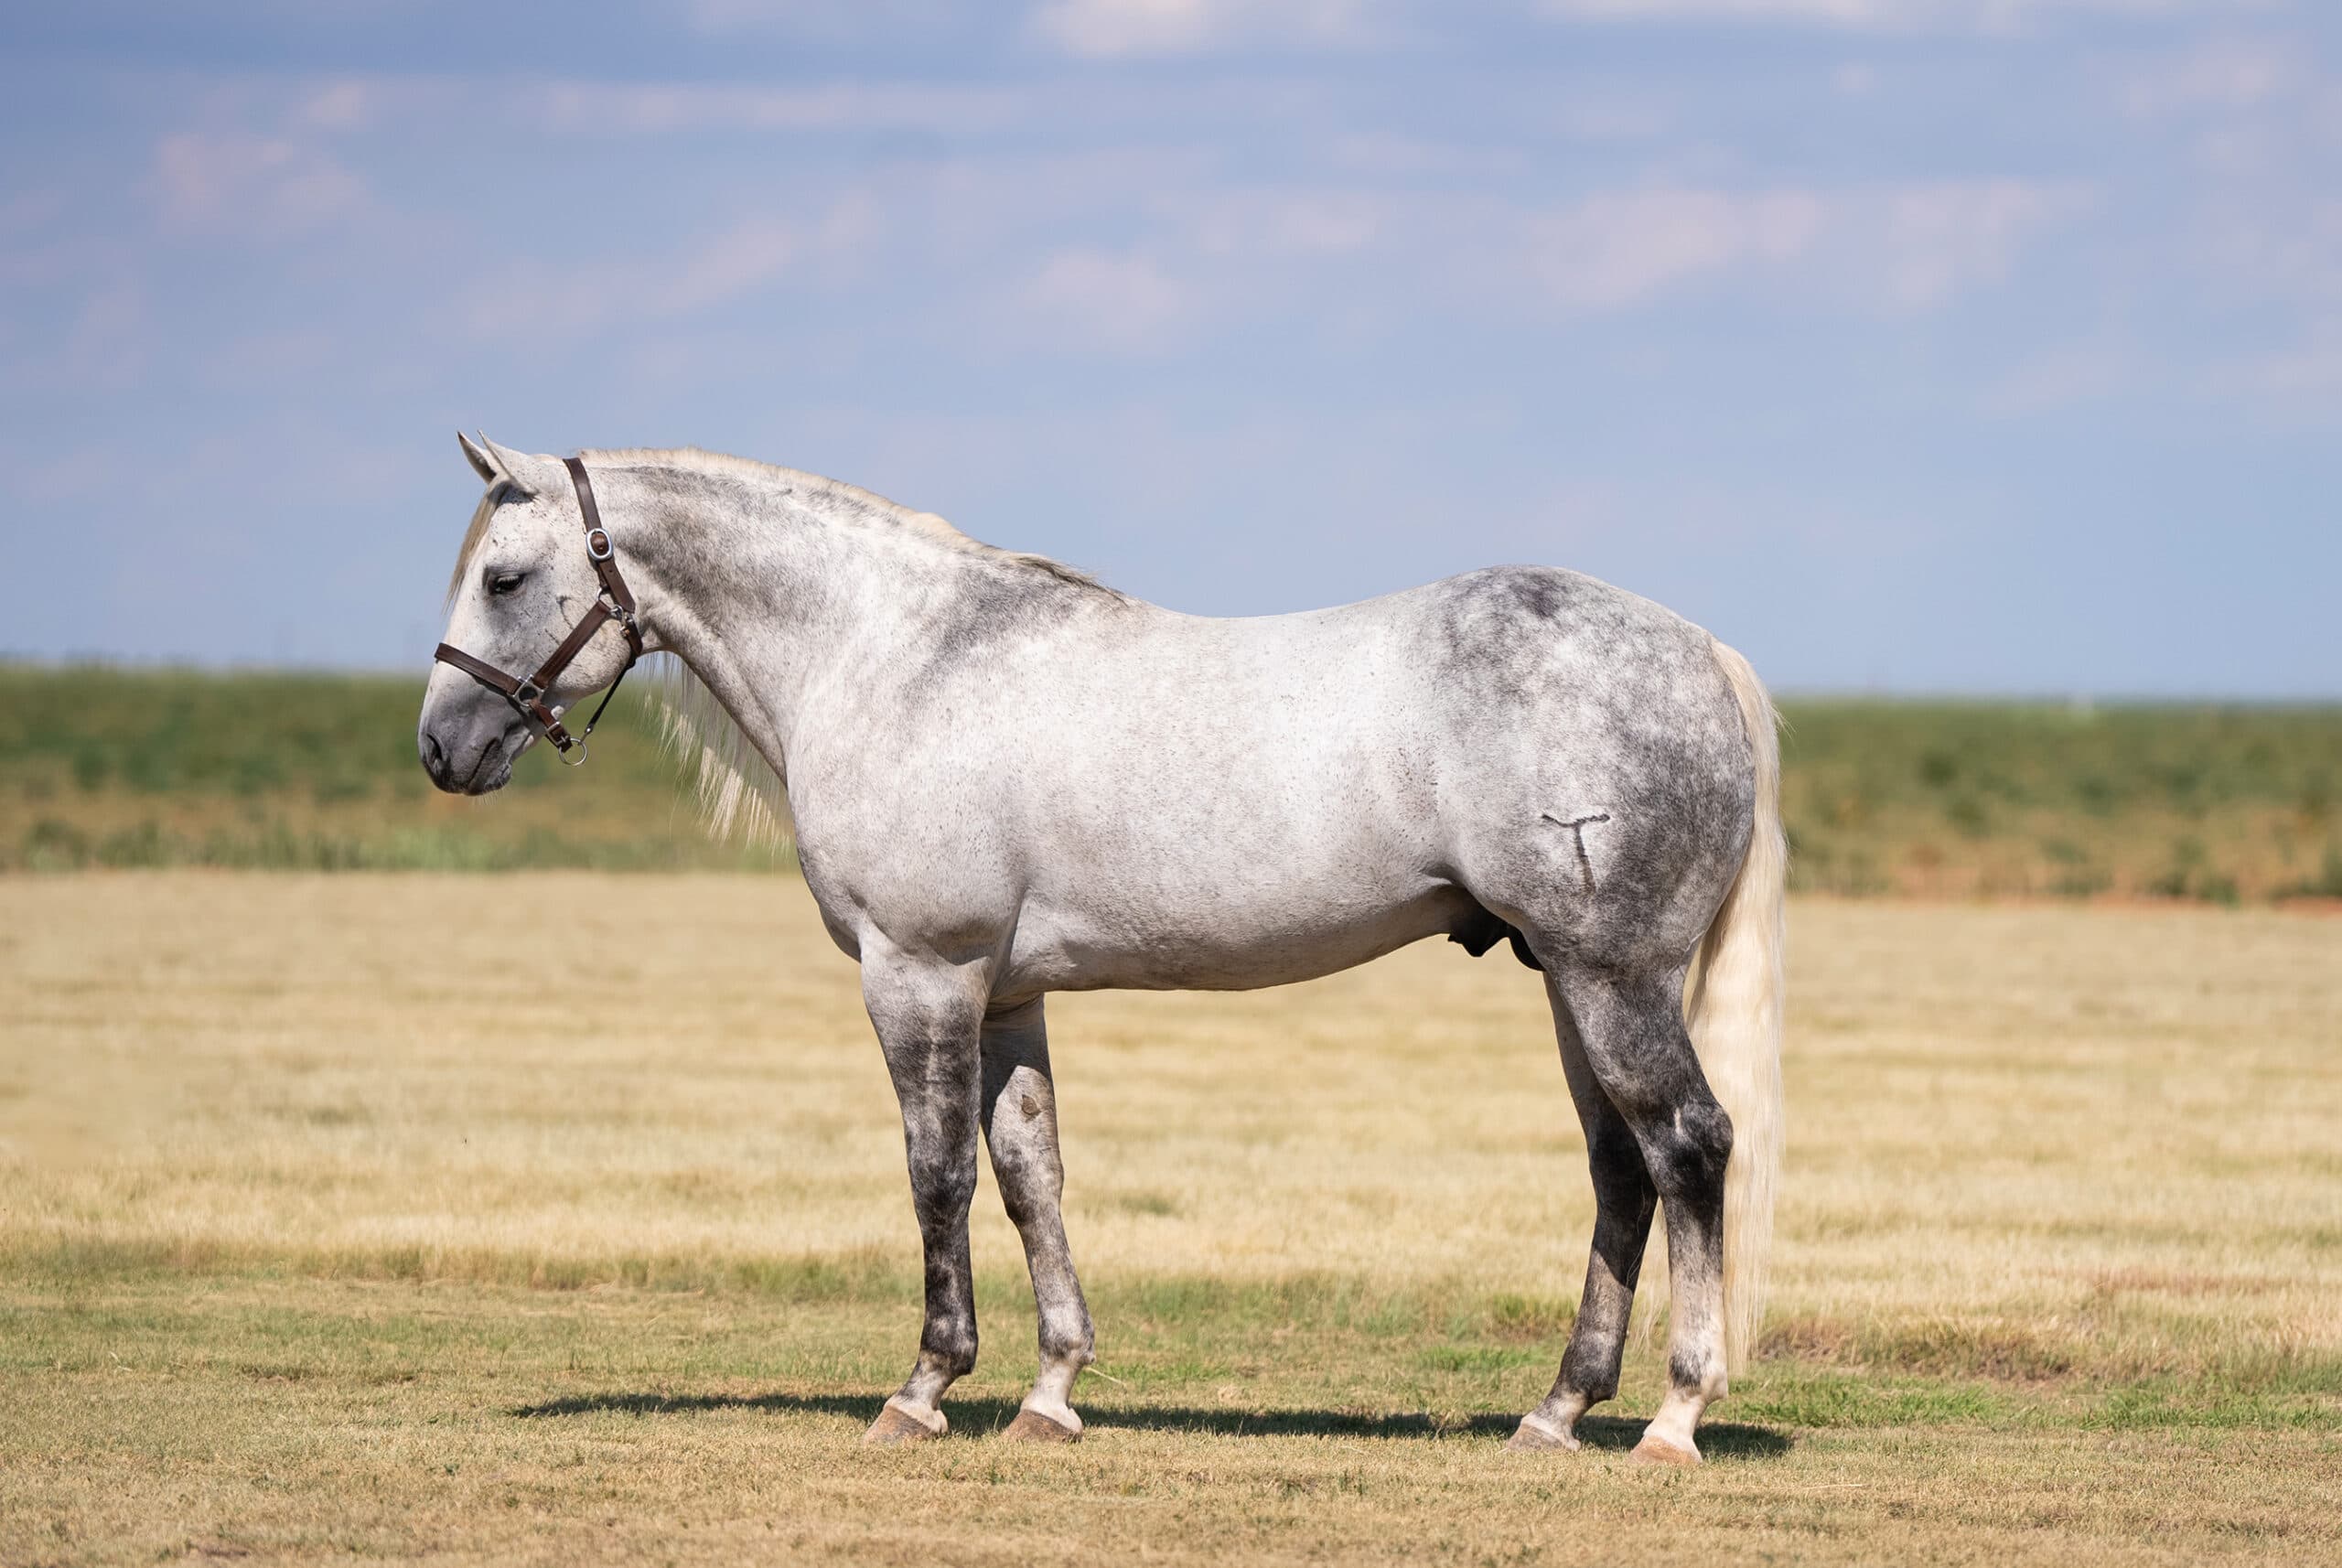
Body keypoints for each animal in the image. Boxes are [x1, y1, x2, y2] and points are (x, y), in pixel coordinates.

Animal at [417, 434, 1785, 1464]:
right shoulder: (1006, 993)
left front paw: (923, 1388)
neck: (892, 656)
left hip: (1612, 980)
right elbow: (1034, 1176)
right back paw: (1554, 1411)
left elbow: (937, 1176)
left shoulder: (920, 973)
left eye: (505, 577)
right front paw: (1050, 1391)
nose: (441, 748)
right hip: (1570, 983)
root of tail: (1701, 652)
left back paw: (1673, 1415)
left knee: (1688, 1147)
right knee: (1618, 1171)